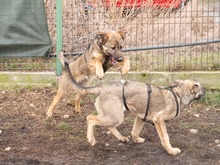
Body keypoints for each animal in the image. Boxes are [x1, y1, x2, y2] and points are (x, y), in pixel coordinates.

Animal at [62, 58, 206, 156]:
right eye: (200, 86)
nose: (205, 89)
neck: (178, 94)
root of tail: (102, 87)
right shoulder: (159, 119)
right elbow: (165, 137)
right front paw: (171, 150)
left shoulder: (140, 117)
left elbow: (135, 132)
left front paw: (136, 140)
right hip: (115, 116)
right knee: (90, 118)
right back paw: (91, 139)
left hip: (118, 115)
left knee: (108, 125)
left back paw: (121, 138)